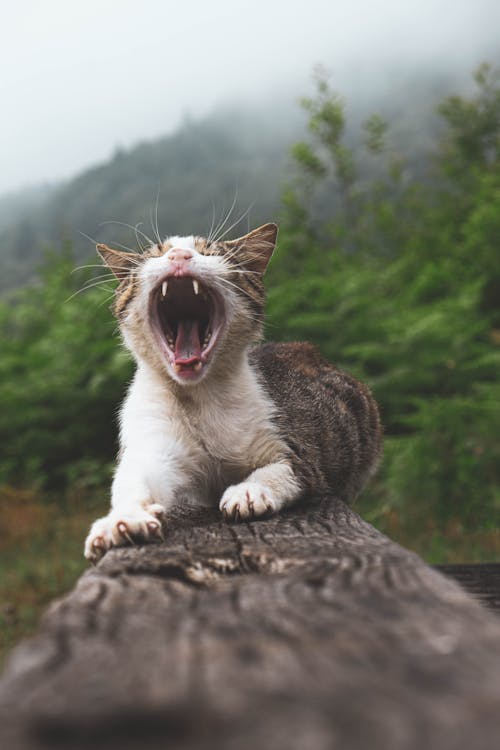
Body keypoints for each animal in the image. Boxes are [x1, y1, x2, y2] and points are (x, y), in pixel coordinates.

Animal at [85, 223, 382, 564]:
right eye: (157, 254)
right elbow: (135, 481)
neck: (200, 397)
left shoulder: (299, 452)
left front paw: (249, 490)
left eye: (209, 252)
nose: (179, 255)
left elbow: (282, 470)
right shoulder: (152, 441)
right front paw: (123, 519)